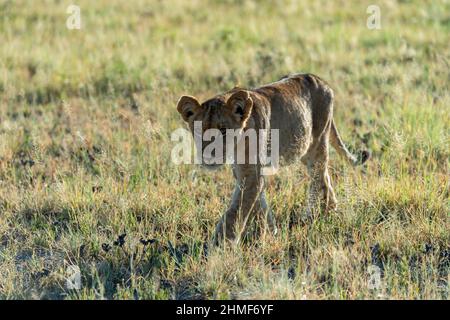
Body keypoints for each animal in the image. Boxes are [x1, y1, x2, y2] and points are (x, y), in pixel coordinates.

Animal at [176, 74, 370, 244]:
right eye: (199, 130)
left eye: (223, 130)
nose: (209, 155)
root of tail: (321, 80)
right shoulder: (244, 172)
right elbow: (257, 203)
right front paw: (270, 231)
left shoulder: (251, 174)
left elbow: (235, 211)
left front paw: (220, 244)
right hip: (305, 149)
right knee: (326, 177)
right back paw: (329, 210)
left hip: (318, 143)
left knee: (319, 179)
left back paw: (317, 217)